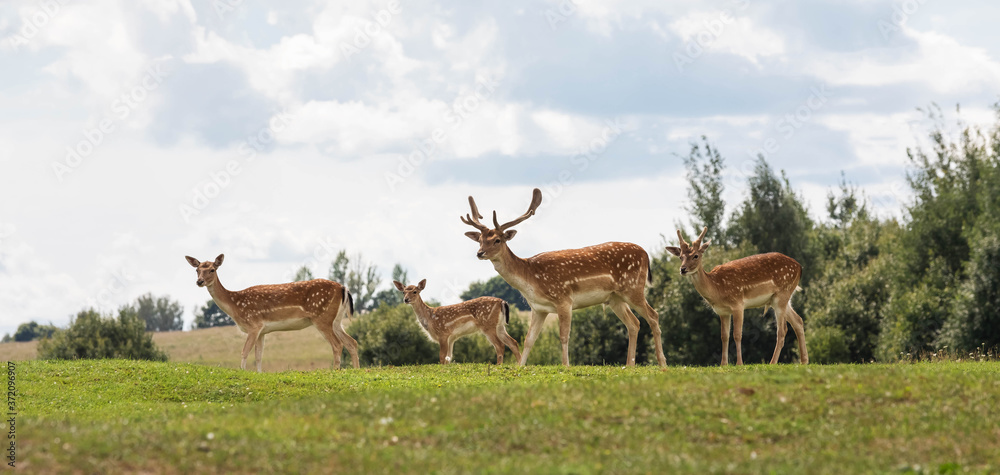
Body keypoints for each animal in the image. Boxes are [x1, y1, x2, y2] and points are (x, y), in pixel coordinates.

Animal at [185, 254, 359, 372]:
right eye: (197, 270)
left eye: (212, 269)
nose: (199, 281)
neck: (235, 306)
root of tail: (343, 288)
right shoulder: (262, 330)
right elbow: (258, 355)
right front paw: (259, 374)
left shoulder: (254, 324)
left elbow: (244, 352)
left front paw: (242, 372)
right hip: (336, 320)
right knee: (352, 342)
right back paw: (356, 370)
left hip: (322, 317)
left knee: (337, 344)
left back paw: (335, 371)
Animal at [393, 279, 522, 365]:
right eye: (403, 292)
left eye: (415, 291)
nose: (406, 299)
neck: (430, 317)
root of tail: (502, 302)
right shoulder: (451, 338)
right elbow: (448, 358)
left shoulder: (443, 333)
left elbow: (442, 357)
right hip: (499, 325)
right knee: (513, 342)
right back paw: (520, 365)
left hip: (488, 325)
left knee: (500, 345)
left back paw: (498, 366)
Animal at [460, 188, 667, 368]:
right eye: (480, 240)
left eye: (497, 240)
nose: (480, 253)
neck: (530, 279)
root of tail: (646, 254)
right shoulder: (538, 308)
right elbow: (529, 339)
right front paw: (520, 367)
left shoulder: (564, 299)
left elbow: (564, 335)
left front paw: (566, 366)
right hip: (615, 298)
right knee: (634, 323)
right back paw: (629, 365)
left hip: (633, 288)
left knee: (653, 315)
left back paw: (662, 363)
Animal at [665, 228, 809, 366]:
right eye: (680, 257)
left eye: (695, 255)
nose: (683, 269)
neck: (717, 288)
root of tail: (800, 267)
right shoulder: (722, 311)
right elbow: (724, 336)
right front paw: (723, 364)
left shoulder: (738, 304)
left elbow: (737, 334)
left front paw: (739, 363)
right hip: (779, 298)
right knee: (798, 320)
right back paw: (804, 361)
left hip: (782, 293)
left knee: (782, 330)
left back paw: (772, 362)